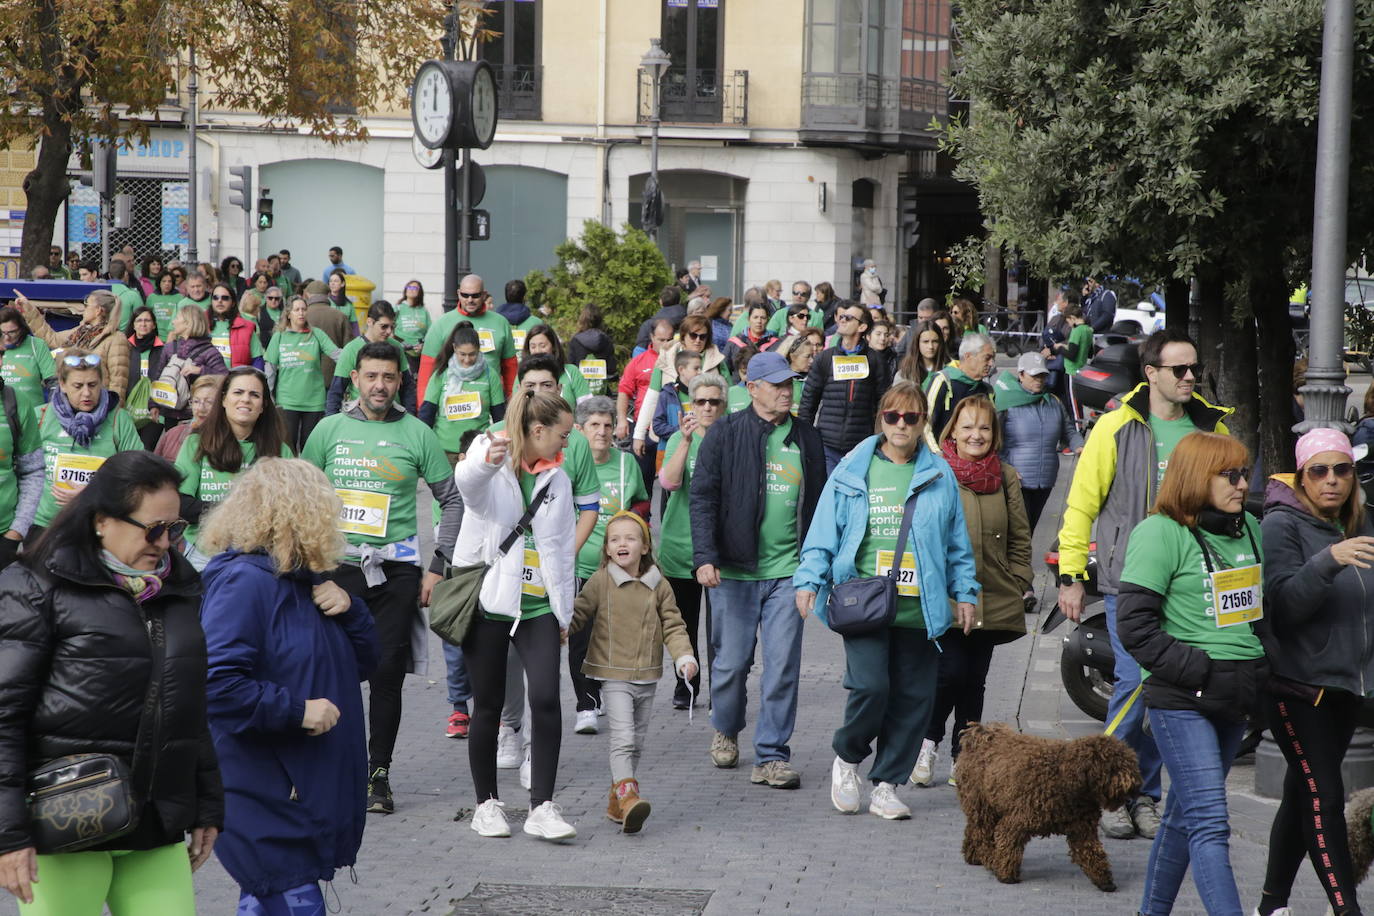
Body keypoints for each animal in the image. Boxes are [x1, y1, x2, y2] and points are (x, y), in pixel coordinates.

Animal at [956, 725, 1137, 889]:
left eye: (1129, 763)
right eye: (1112, 767)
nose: (1135, 785)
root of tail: (980, 734)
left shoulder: (1083, 831)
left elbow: (1093, 854)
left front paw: (1105, 881)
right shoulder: (1016, 823)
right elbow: (1008, 847)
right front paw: (1006, 874)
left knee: (972, 830)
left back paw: (973, 856)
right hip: (982, 804)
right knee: (982, 835)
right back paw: (987, 858)